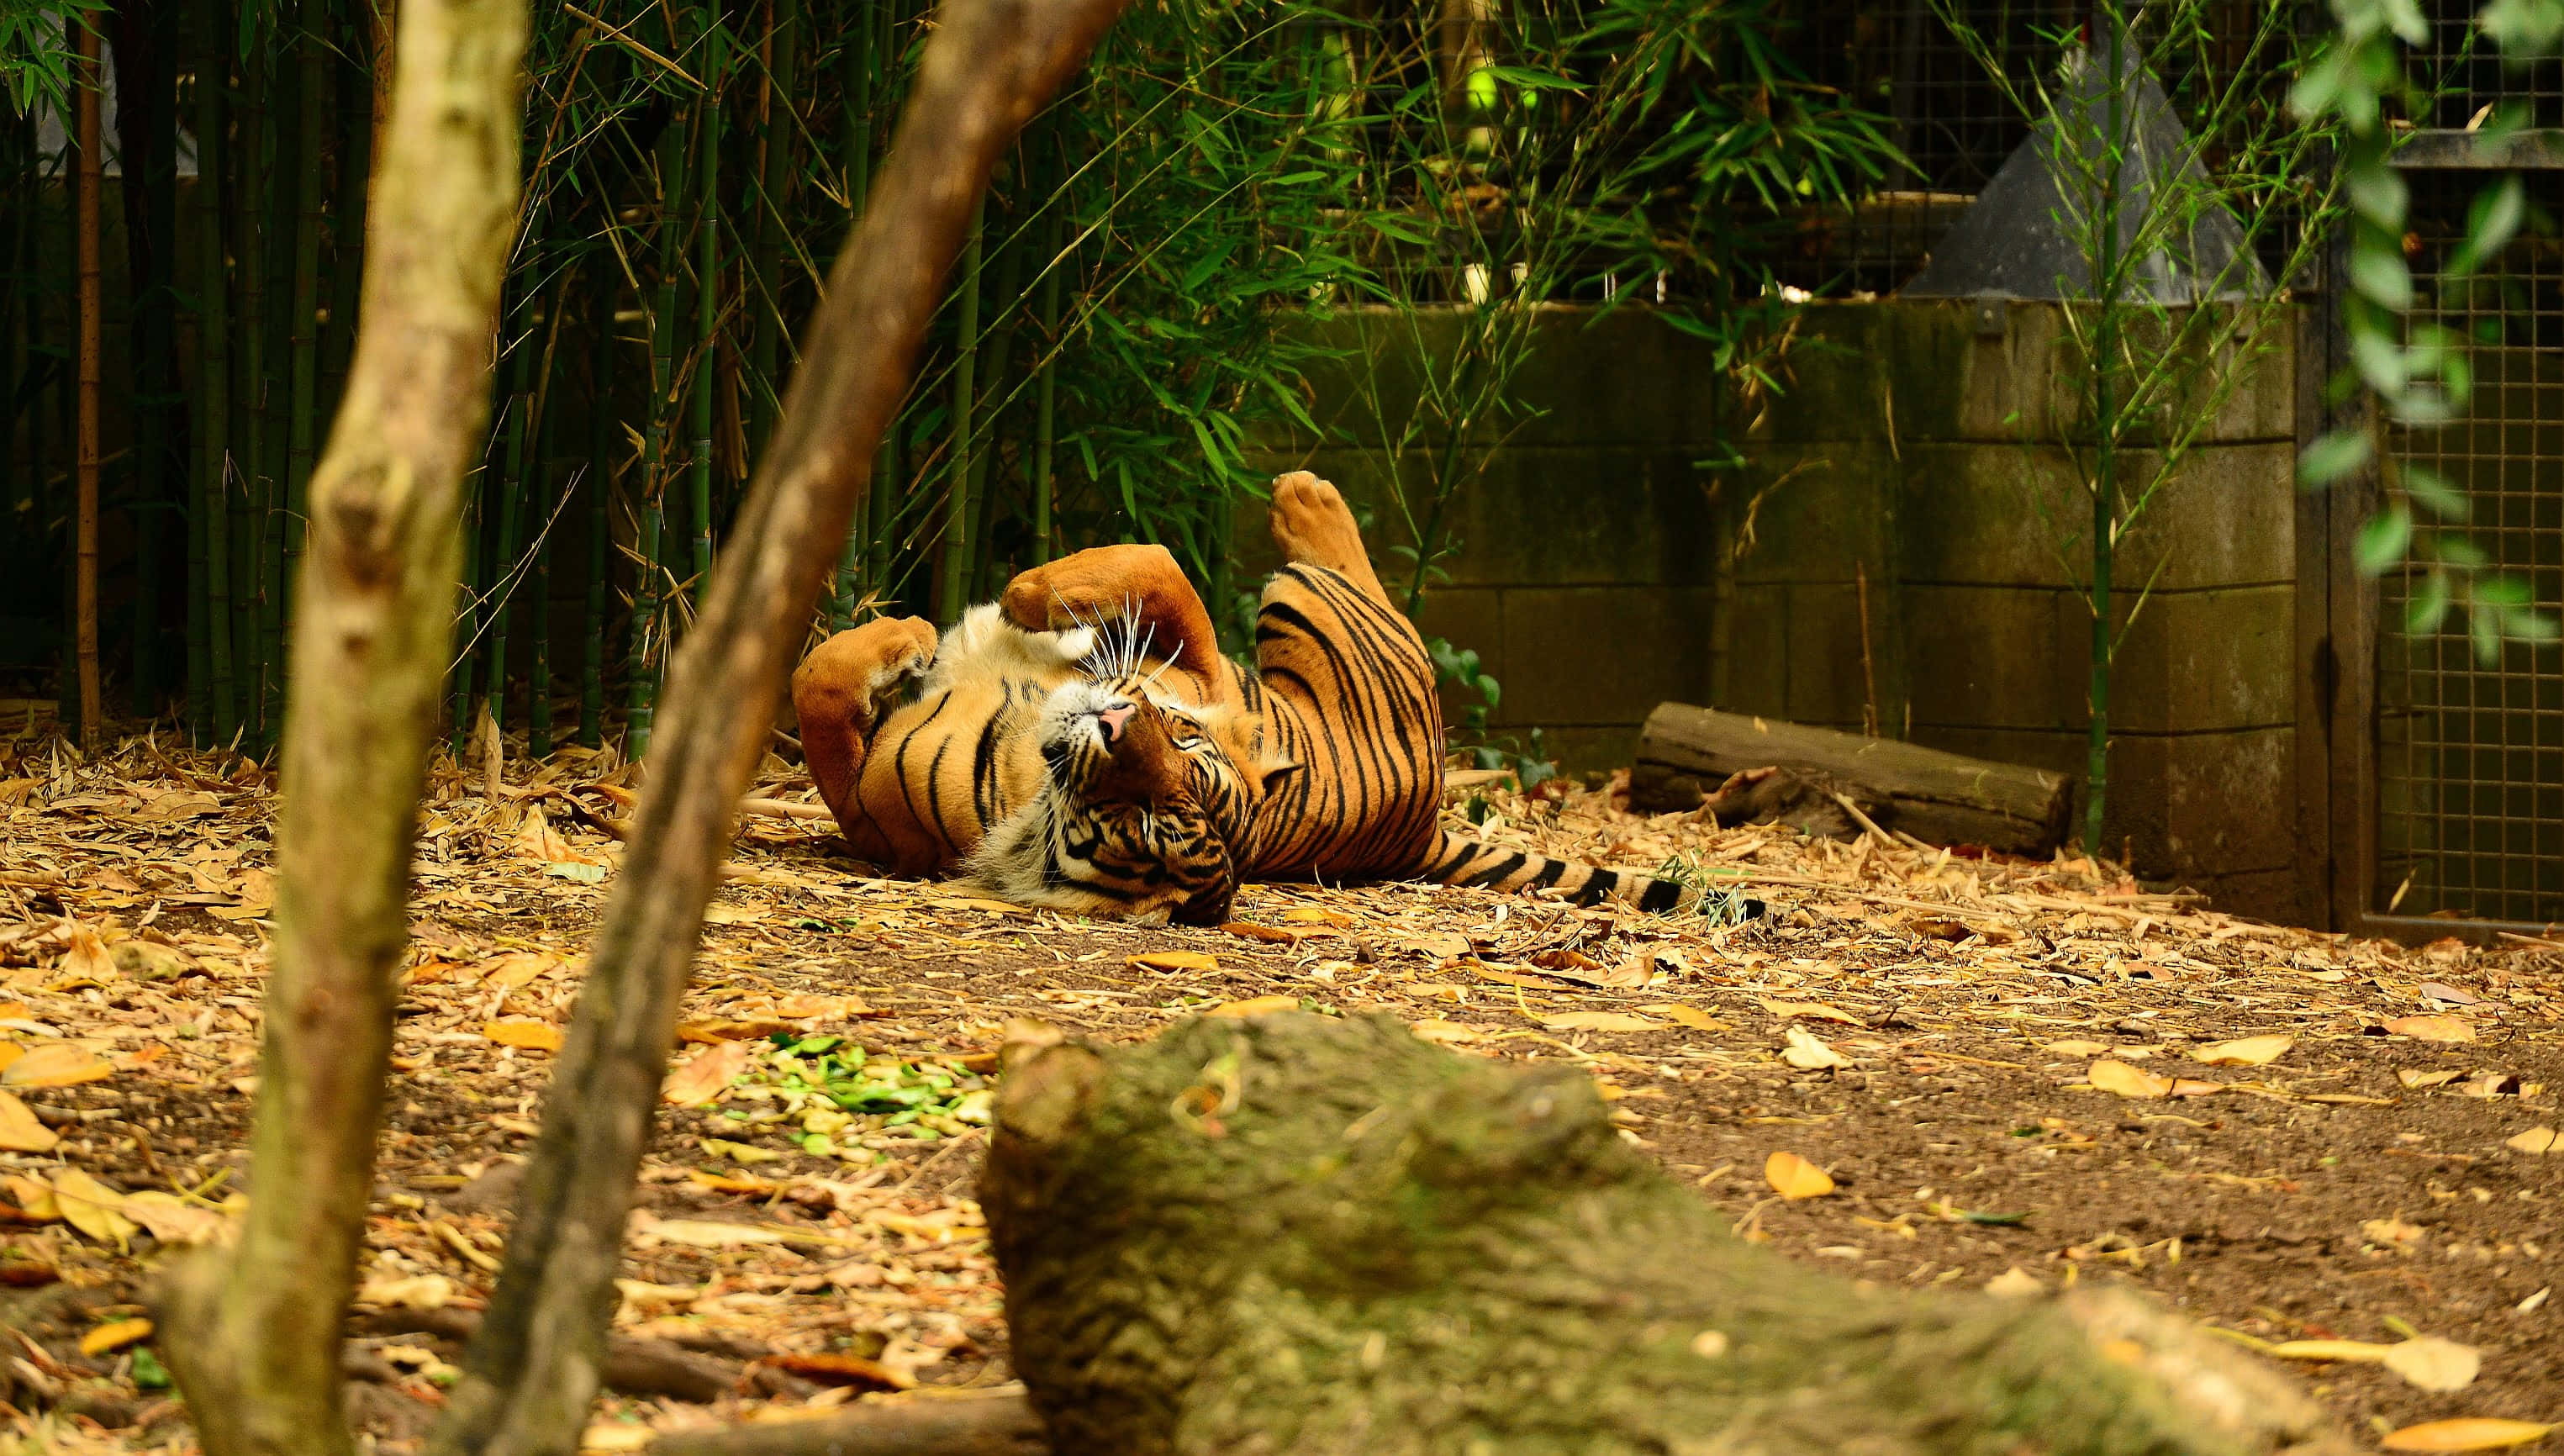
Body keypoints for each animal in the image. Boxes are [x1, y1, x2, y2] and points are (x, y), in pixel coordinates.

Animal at [790, 471, 1732, 923]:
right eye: (1181, 740)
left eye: (1148, 820)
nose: (1113, 716)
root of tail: (1426, 823)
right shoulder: (1191, 672)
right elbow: (1158, 566)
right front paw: (954, 622)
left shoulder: (871, 802)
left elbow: (815, 692)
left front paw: (972, 613)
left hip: (1309, 610)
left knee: (1343, 574)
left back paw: (1304, 490)